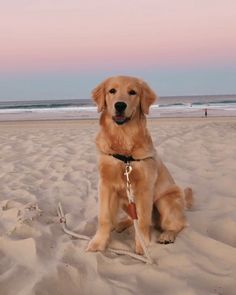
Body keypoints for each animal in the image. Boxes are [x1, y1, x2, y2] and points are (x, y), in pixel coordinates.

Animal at [85, 75, 193, 254]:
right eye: (112, 91)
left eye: (132, 92)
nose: (120, 105)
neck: (123, 138)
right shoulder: (106, 185)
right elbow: (104, 217)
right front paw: (98, 243)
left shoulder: (144, 189)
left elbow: (142, 220)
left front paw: (142, 245)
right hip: (125, 201)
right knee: (131, 218)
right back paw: (120, 224)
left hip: (165, 201)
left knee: (179, 224)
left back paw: (167, 235)